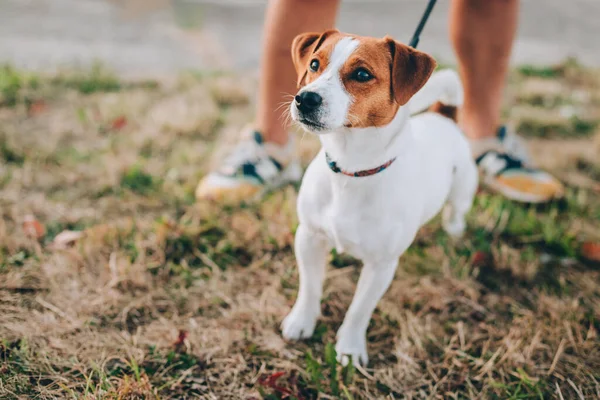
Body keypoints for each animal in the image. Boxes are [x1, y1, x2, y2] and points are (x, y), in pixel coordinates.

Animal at [282, 29, 478, 368]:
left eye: (362, 74)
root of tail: (444, 117)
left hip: (463, 189)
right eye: (314, 64)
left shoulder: (382, 266)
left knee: (456, 211)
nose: (305, 98)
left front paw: (349, 348)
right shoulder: (308, 237)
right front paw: (302, 321)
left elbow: (359, 310)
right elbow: (310, 287)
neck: (351, 170)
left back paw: (454, 230)